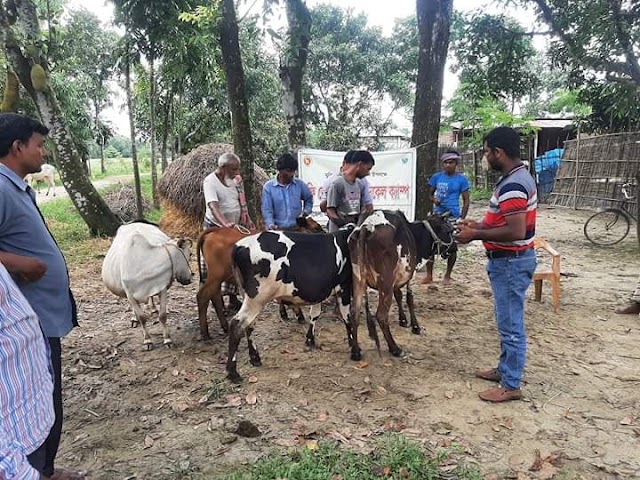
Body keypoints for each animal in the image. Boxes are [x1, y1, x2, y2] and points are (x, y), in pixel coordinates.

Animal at [100, 220, 192, 348]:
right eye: (191, 254)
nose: (190, 278)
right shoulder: (130, 294)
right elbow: (142, 317)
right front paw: (147, 340)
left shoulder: (161, 287)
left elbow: (163, 315)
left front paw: (167, 339)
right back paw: (134, 318)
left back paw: (153, 308)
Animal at [196, 216, 324, 340]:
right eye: (316, 228)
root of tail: (216, 230)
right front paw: (298, 314)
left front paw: (286, 313)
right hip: (216, 275)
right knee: (203, 296)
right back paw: (205, 334)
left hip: (219, 277)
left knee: (215, 296)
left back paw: (225, 327)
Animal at [225, 227, 356, 380]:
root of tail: (240, 246)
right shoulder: (344, 286)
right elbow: (347, 318)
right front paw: (355, 349)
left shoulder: (319, 290)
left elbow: (315, 314)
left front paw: (310, 340)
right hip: (257, 298)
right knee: (236, 325)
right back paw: (233, 372)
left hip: (247, 295)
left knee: (249, 325)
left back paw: (255, 358)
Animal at [350, 210, 456, 360]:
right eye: (449, 231)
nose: (455, 248)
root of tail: (367, 226)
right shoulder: (410, 274)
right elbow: (410, 299)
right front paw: (415, 326)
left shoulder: (397, 279)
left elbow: (399, 295)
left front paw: (403, 320)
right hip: (385, 282)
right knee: (381, 316)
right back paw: (395, 348)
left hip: (358, 279)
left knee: (354, 311)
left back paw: (355, 351)